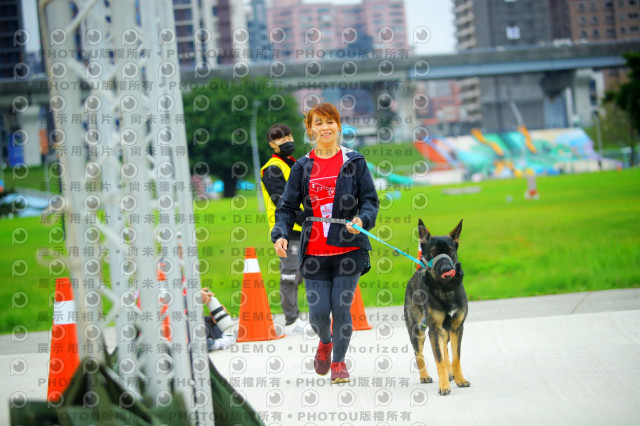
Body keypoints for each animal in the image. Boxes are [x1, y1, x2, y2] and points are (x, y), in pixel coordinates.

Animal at [404, 219, 470, 395]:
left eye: (450, 251)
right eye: (433, 252)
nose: (447, 269)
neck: (445, 287)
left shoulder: (457, 328)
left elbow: (455, 357)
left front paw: (460, 379)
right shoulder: (433, 329)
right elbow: (438, 359)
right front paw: (444, 386)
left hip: (445, 332)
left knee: (445, 350)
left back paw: (450, 373)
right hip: (418, 331)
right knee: (419, 354)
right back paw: (425, 376)